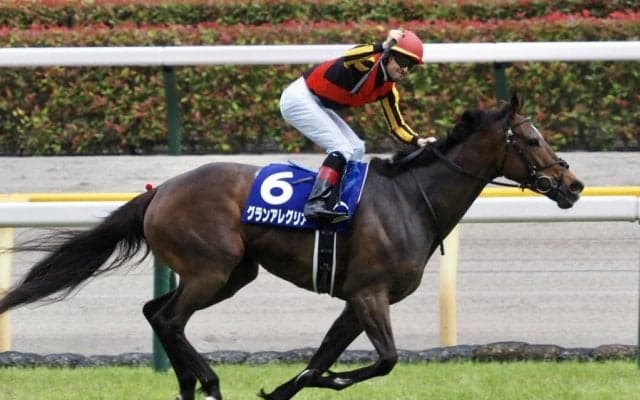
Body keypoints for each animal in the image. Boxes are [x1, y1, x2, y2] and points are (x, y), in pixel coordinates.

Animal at [0, 93, 583, 400]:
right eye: (532, 140)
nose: (573, 185)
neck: (411, 200)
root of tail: (159, 190)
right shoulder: (370, 294)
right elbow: (385, 360)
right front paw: (329, 379)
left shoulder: (357, 299)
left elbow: (326, 354)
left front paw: (290, 385)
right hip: (212, 269)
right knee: (169, 318)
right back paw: (207, 381)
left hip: (234, 272)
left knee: (155, 311)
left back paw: (189, 384)